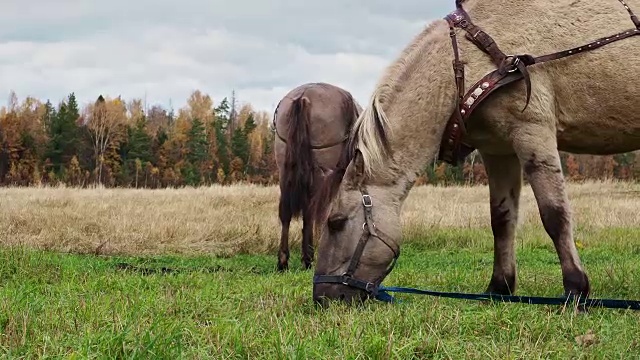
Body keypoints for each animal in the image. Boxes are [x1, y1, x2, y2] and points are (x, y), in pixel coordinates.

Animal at [272, 83, 364, 272]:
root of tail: (303, 97)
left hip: (284, 170)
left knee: (286, 213)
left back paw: (283, 261)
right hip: (320, 173)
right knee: (311, 212)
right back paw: (308, 258)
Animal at [312, 0, 640, 306]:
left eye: (335, 222)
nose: (321, 297)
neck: (472, 58)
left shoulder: (533, 132)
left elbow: (554, 215)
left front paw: (575, 289)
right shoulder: (498, 150)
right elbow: (502, 220)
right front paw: (499, 287)